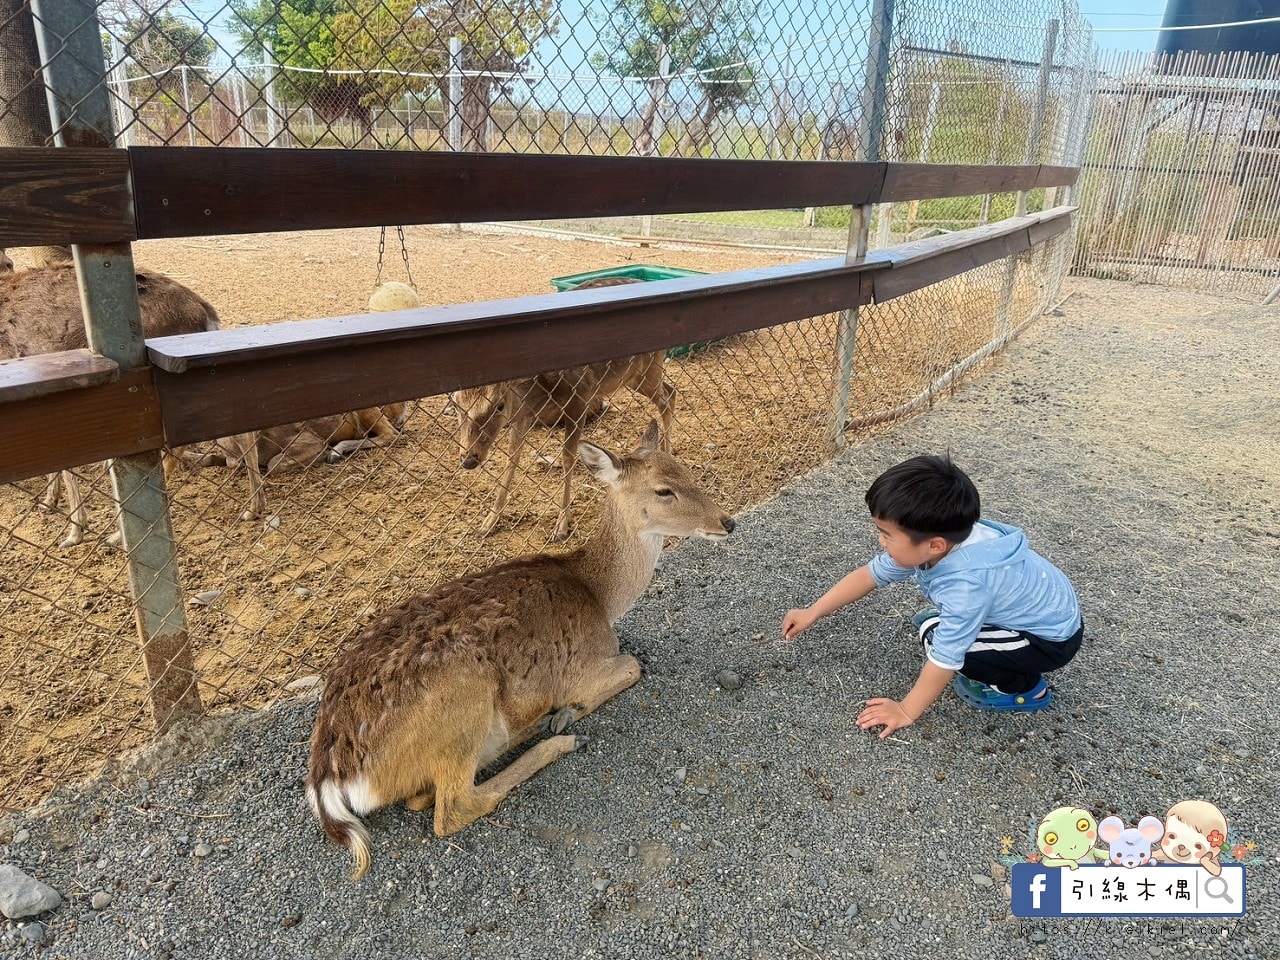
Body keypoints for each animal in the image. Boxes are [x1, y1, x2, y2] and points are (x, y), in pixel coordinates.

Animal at [306, 421, 734, 879]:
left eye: (686, 471)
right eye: (663, 490)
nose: (726, 522)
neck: (601, 597)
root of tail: (331, 775)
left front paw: (563, 714)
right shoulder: (580, 666)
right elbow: (633, 665)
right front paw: (571, 709)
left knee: (423, 794)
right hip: (463, 695)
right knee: (451, 807)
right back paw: (557, 737)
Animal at [451, 276, 677, 541]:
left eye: (499, 405)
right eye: (456, 404)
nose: (469, 459)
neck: (538, 391)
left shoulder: (580, 398)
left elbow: (568, 456)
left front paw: (562, 525)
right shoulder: (524, 415)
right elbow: (512, 457)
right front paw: (488, 521)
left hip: (648, 368)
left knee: (668, 397)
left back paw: (667, 455)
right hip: (635, 378)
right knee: (670, 392)